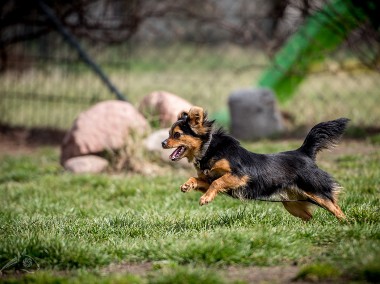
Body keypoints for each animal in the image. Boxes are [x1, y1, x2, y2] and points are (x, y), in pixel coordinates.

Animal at [160, 106, 348, 222]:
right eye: (169, 134)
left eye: (176, 135)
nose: (162, 143)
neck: (209, 149)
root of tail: (303, 152)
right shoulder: (208, 178)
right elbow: (200, 179)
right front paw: (187, 185)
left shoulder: (239, 175)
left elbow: (217, 182)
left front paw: (205, 198)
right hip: (291, 203)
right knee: (310, 217)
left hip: (315, 191)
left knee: (336, 209)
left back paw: (346, 224)